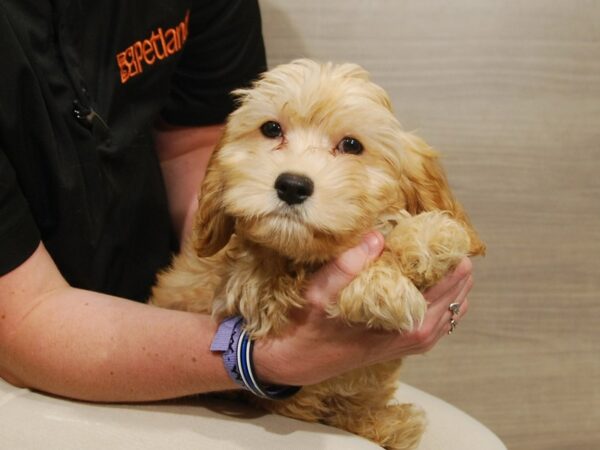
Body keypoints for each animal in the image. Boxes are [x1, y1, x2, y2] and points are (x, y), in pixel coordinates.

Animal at [152, 59, 486, 450]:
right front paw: (380, 286)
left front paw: (429, 237)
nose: (292, 185)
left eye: (352, 145)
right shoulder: (257, 289)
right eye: (271, 129)